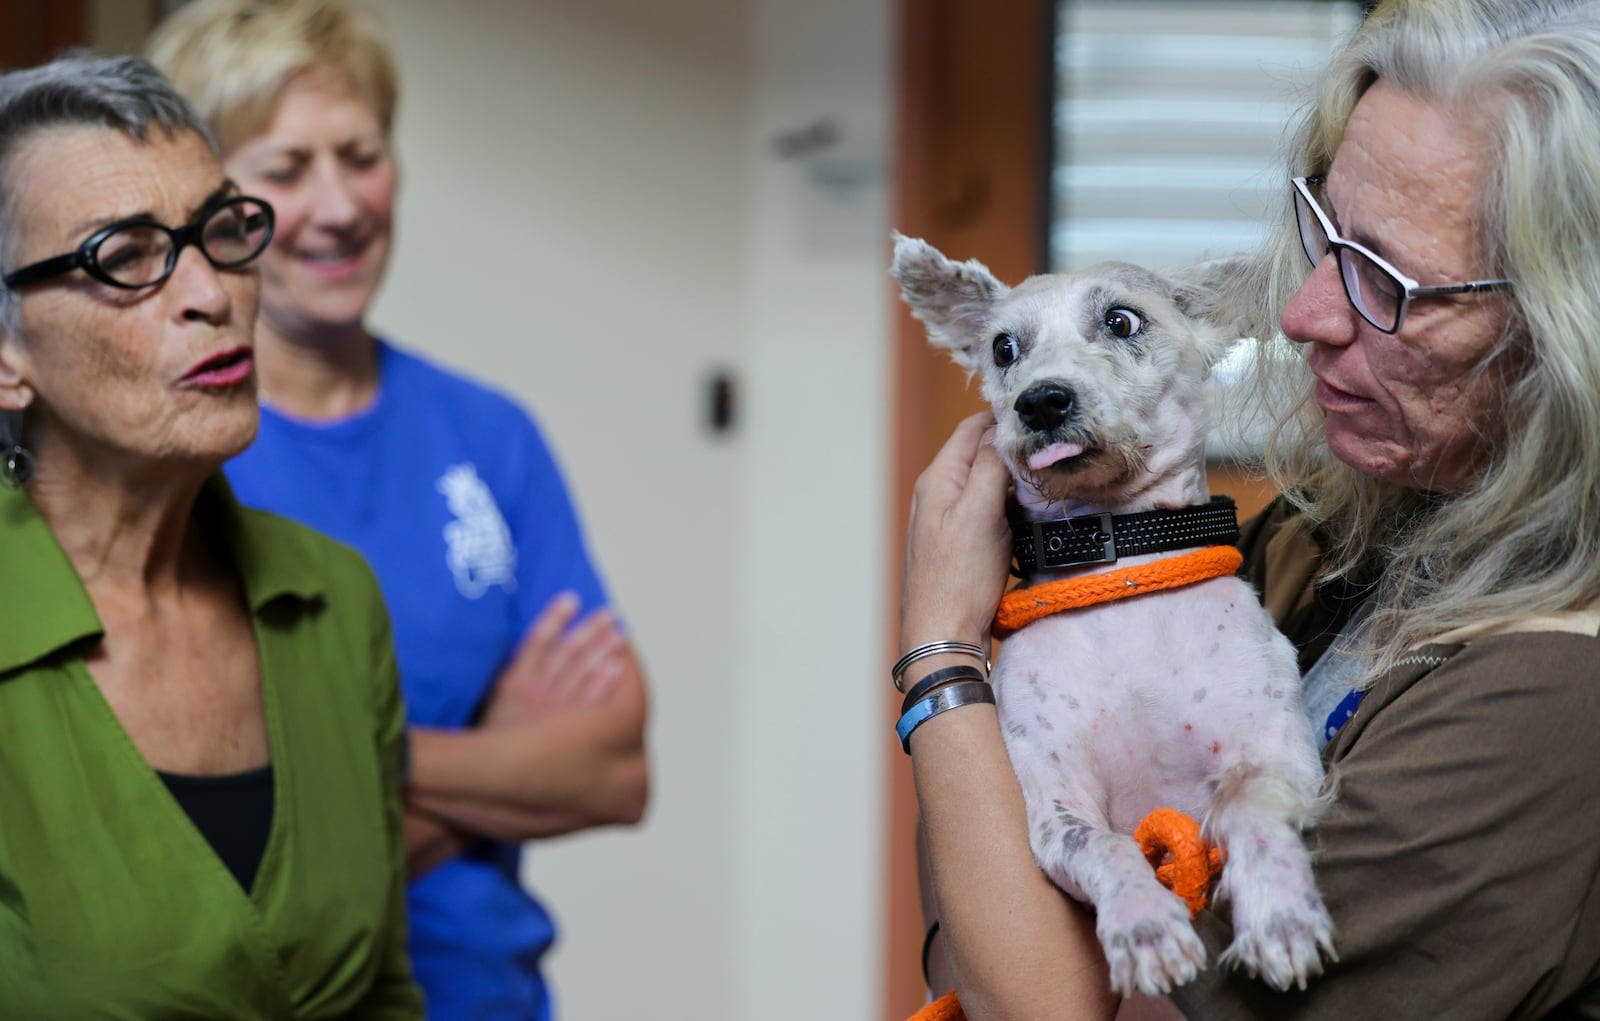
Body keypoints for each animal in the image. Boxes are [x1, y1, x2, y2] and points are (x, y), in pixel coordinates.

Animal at [896, 233, 1331, 998]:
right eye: (1003, 348)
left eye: (1122, 321)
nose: (1041, 401)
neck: (1119, 569)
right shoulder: (1056, 807)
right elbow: (1106, 847)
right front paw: (1144, 925)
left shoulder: (1281, 756)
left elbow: (1248, 807)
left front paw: (1280, 913)